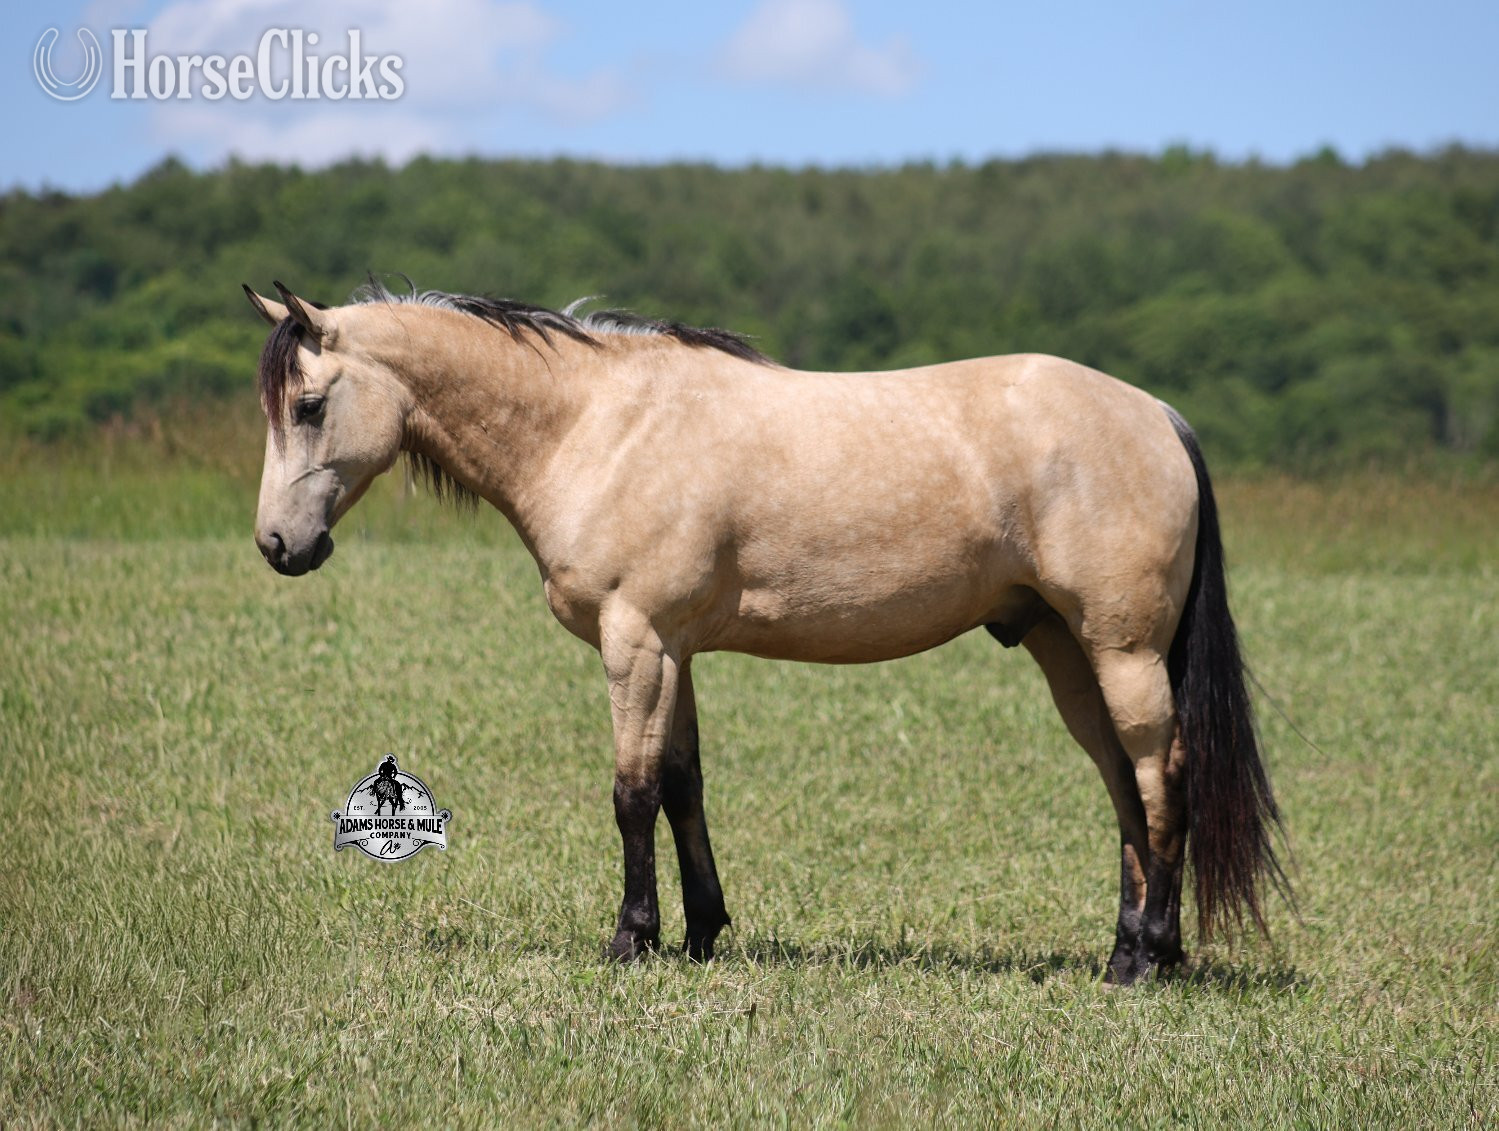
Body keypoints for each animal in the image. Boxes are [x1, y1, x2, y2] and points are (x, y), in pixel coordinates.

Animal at [245, 279, 1288, 984]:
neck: (599, 426)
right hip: (1066, 652)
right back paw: (1124, 951)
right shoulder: (674, 651)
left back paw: (1148, 956)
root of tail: (1158, 415)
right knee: (1123, 790)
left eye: (308, 404)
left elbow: (630, 793)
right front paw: (701, 931)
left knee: (1162, 779)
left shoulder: (636, 643)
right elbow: (681, 785)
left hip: (1122, 652)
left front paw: (631, 938)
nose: (277, 545)